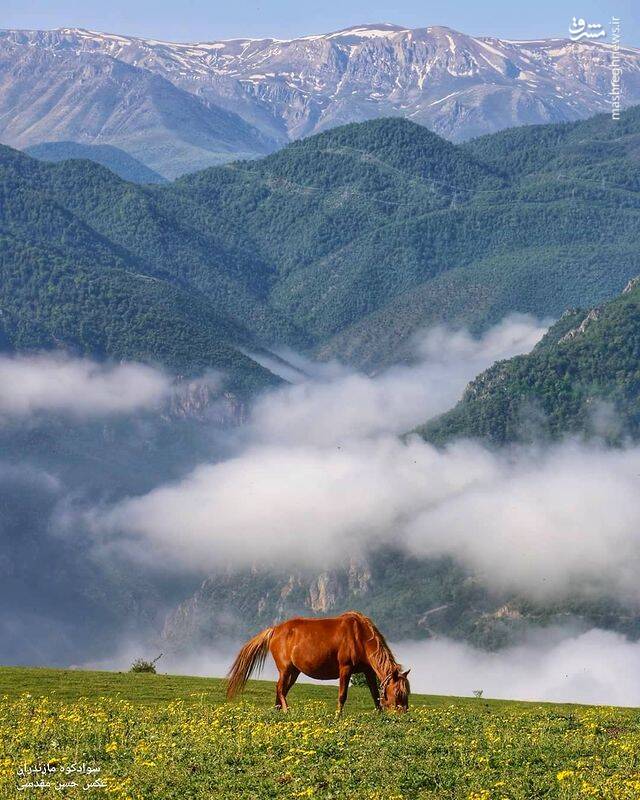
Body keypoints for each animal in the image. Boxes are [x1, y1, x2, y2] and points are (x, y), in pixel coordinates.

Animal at [225, 612, 410, 712]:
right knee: (280, 689)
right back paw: (285, 710)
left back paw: (277, 710)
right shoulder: (345, 669)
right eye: (397, 694)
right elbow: (342, 695)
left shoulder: (368, 671)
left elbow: (374, 694)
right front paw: (338, 716)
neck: (359, 636)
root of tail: (275, 630)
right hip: (285, 669)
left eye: (406, 693)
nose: (402, 715)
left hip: (294, 671)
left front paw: (380, 714)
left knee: (281, 689)